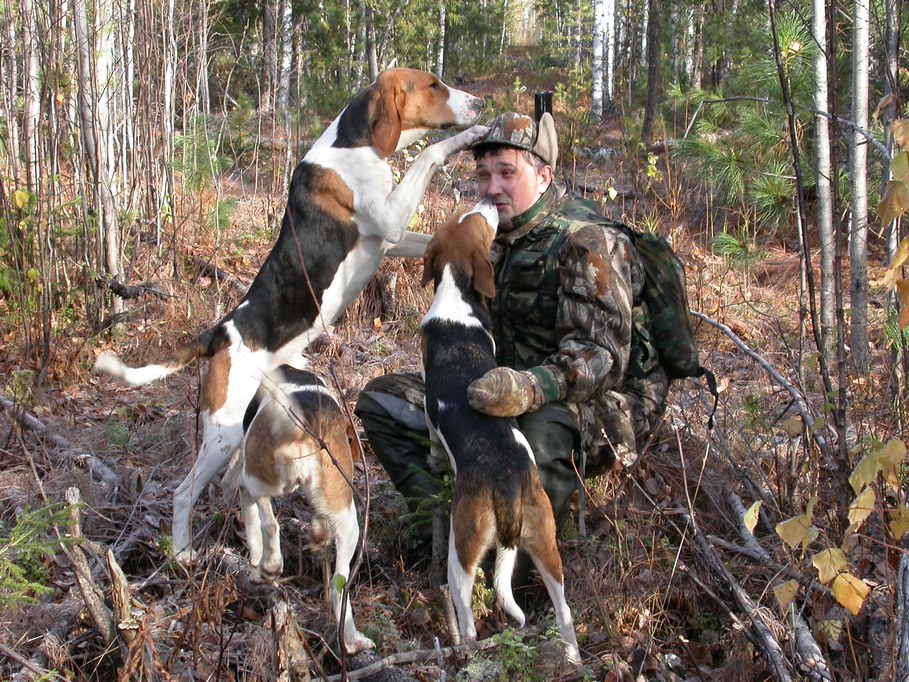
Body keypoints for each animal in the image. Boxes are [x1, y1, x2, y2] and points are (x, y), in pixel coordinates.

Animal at [93, 68, 487, 561]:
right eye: (433, 84)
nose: (480, 103)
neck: (352, 143)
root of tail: (220, 332)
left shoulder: (392, 239)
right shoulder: (391, 218)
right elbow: (431, 152)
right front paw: (470, 136)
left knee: (236, 488)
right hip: (221, 434)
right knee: (185, 493)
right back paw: (183, 553)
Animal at [229, 365, 373, 654]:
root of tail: (305, 426)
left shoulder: (245, 488)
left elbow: (254, 532)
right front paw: (317, 536)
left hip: (254, 478)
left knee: (269, 525)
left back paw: (268, 568)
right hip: (348, 520)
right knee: (339, 587)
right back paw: (351, 641)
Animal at [419, 199, 581, 664]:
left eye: (480, 218)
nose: (489, 201)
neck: (456, 297)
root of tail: (506, 482)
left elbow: (432, 429)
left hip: (462, 544)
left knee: (465, 603)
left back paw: (467, 647)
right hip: (545, 537)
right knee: (564, 609)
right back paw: (573, 656)